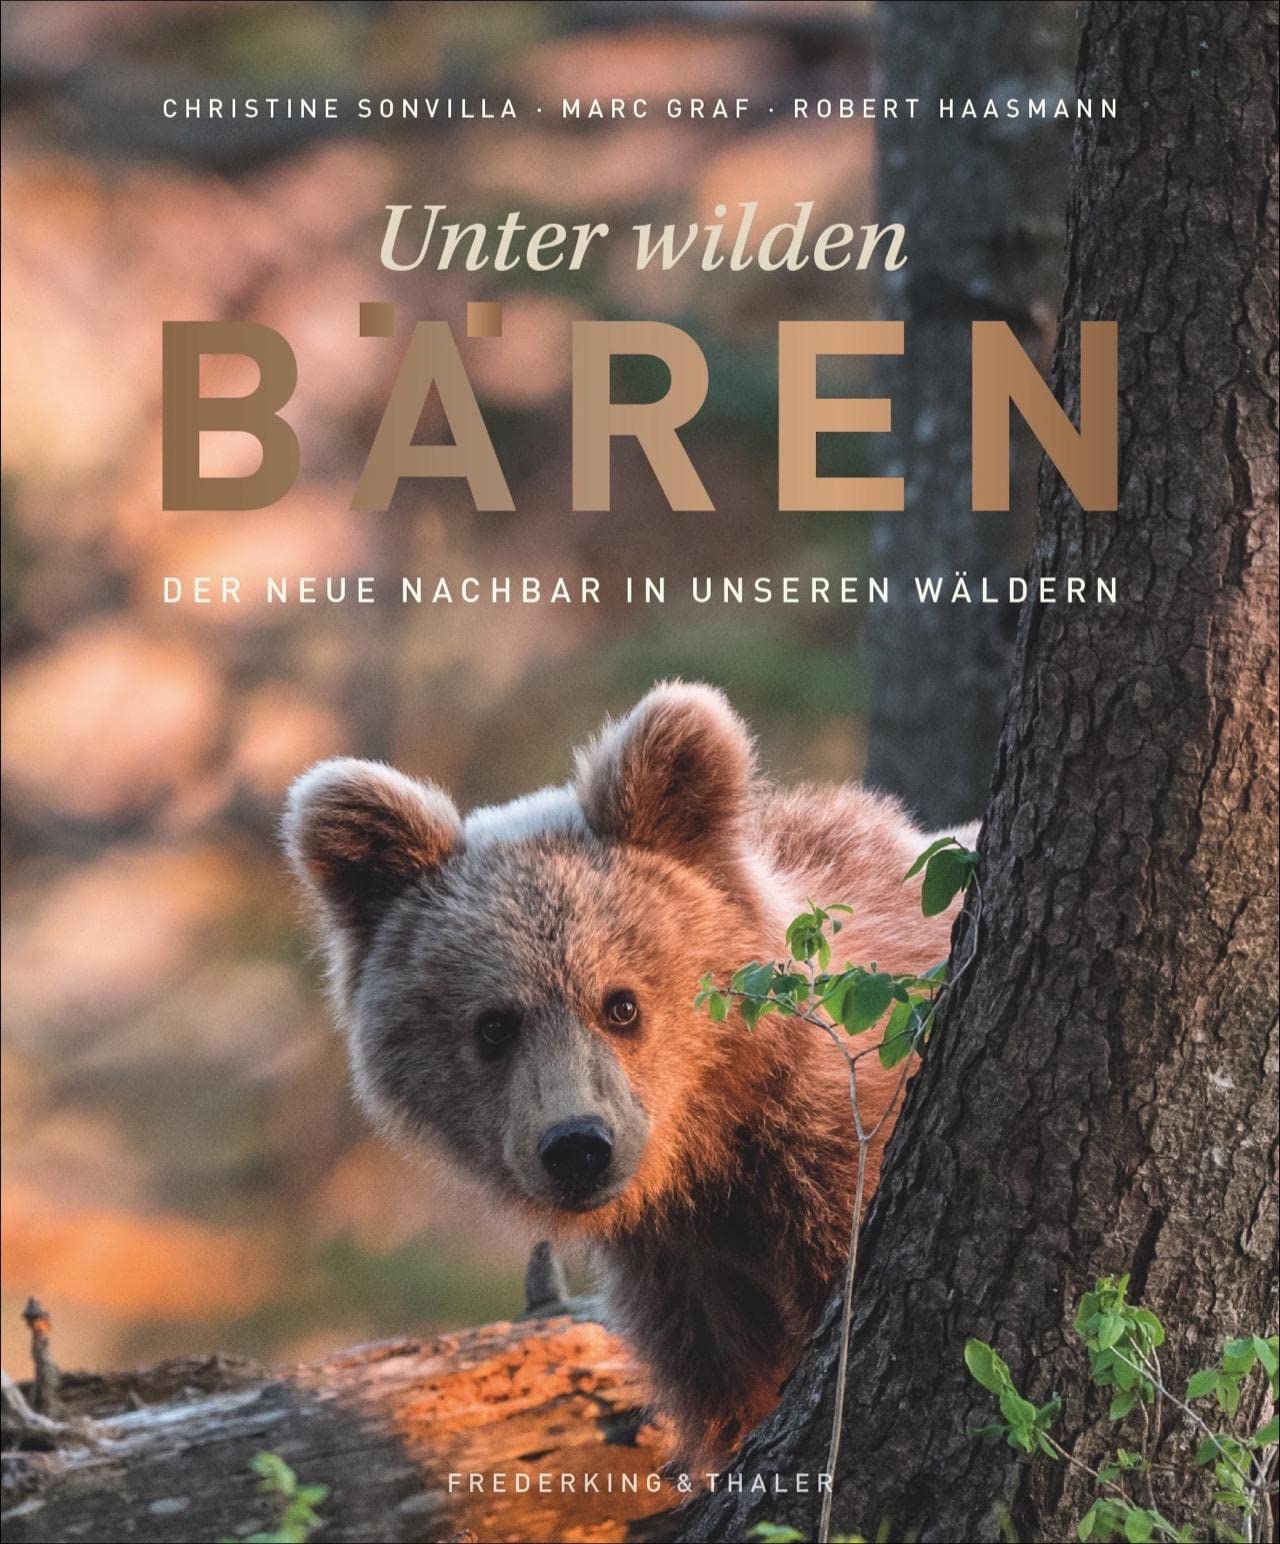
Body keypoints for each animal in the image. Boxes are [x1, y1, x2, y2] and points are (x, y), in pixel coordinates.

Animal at [283, 682, 966, 1463]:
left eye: (621, 1004)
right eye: (494, 1024)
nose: (577, 1144)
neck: (717, 1155)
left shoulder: (843, 1162)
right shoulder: (685, 1275)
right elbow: (731, 1388)